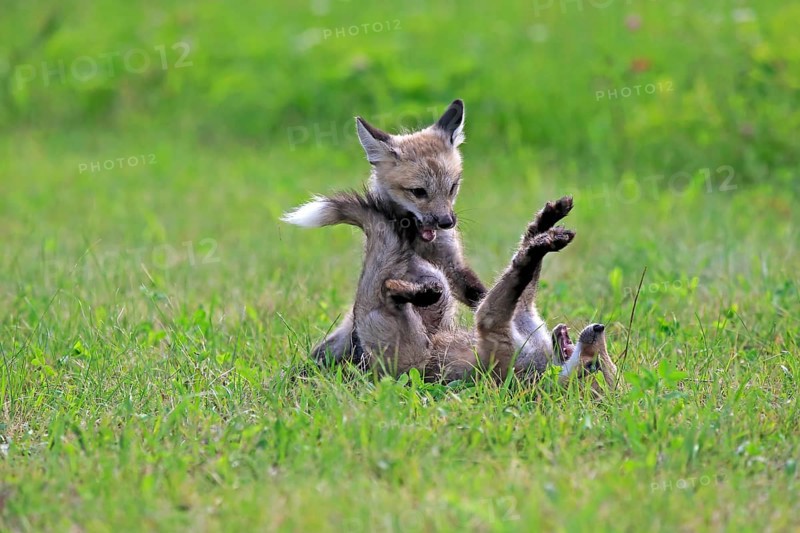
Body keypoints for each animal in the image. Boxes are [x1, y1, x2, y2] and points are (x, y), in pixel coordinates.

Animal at [282, 100, 486, 365]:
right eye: (418, 192)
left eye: (452, 187)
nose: (446, 222)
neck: (419, 244)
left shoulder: (452, 265)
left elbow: (479, 295)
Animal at [284, 189, 616, 390]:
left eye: (594, 367)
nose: (599, 328)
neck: (544, 363)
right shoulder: (523, 315)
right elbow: (525, 270)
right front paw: (547, 224)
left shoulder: (492, 323)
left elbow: (519, 268)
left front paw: (539, 244)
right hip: (434, 291)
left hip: (395, 322)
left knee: (386, 289)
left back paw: (408, 292)